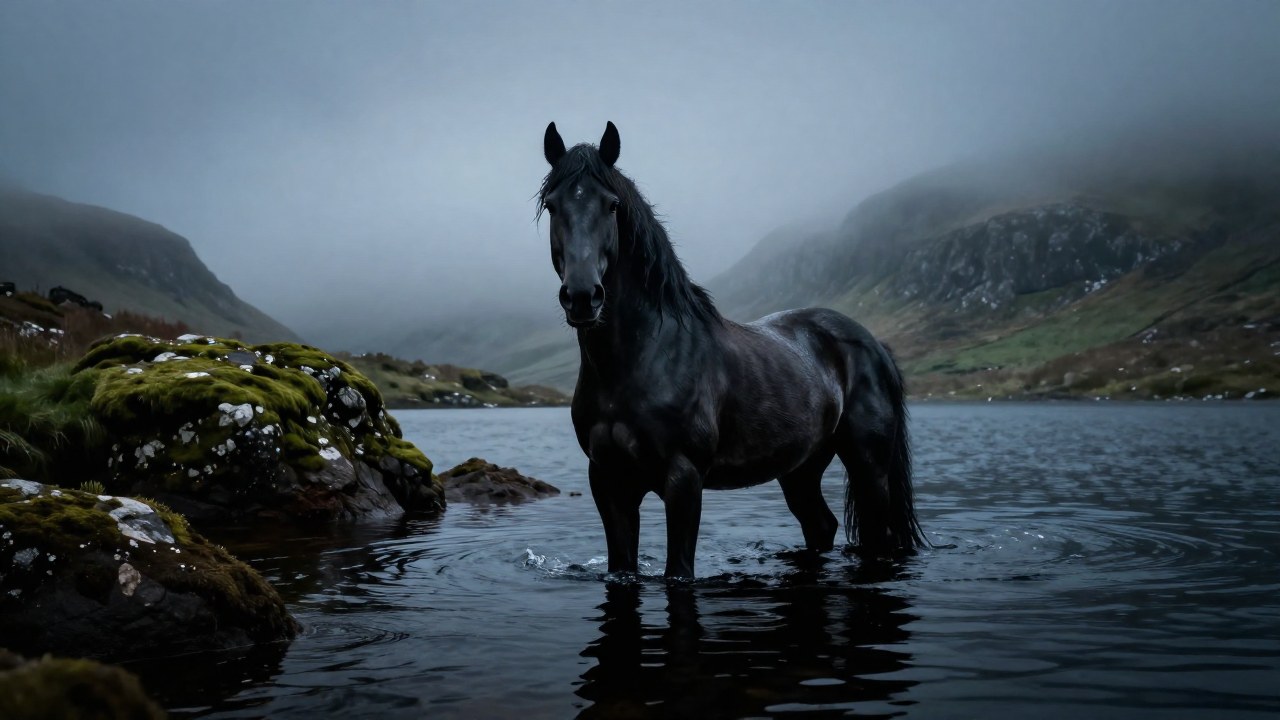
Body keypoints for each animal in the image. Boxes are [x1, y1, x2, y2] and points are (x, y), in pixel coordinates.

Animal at [538, 121, 925, 578]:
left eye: (612, 205)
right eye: (551, 206)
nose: (583, 297)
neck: (639, 361)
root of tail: (873, 343)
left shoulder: (684, 478)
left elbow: (678, 570)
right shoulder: (608, 481)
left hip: (870, 466)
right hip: (801, 467)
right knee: (821, 525)